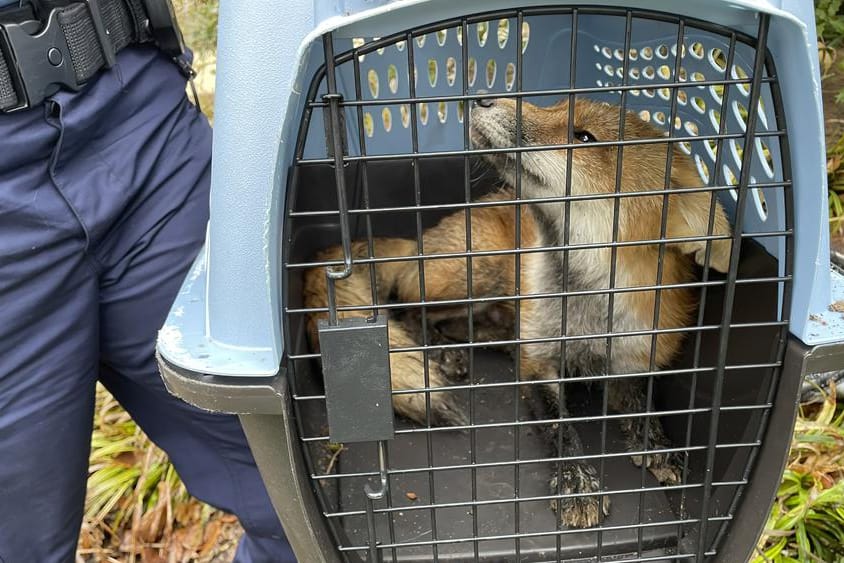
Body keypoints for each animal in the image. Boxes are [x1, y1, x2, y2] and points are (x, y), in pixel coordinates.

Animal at [302, 98, 732, 528]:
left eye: (584, 137)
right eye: (556, 104)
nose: (483, 98)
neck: (585, 313)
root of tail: (420, 242)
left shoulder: (634, 357)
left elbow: (645, 405)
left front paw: (658, 445)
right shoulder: (538, 364)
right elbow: (561, 426)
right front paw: (577, 481)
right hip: (478, 272)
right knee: (408, 309)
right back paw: (443, 352)